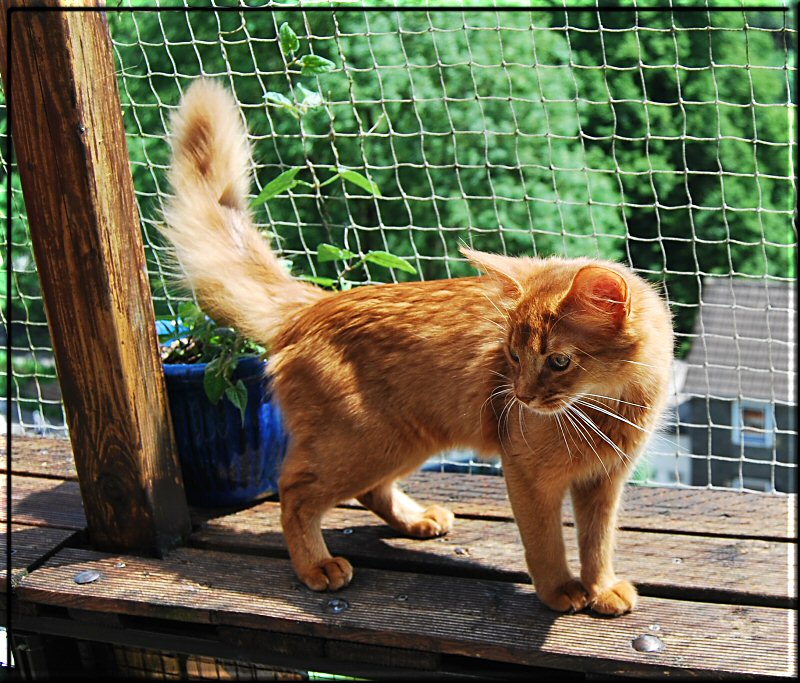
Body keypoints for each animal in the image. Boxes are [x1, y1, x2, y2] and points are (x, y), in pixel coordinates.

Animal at [162, 79, 676, 616]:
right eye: (514, 356)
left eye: (558, 361)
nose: (521, 395)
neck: (606, 406)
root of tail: (313, 305)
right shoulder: (529, 476)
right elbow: (546, 545)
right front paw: (560, 592)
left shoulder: (604, 482)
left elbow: (598, 542)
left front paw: (602, 588)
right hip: (363, 443)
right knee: (295, 491)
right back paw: (317, 566)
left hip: (407, 439)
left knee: (369, 491)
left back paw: (414, 521)